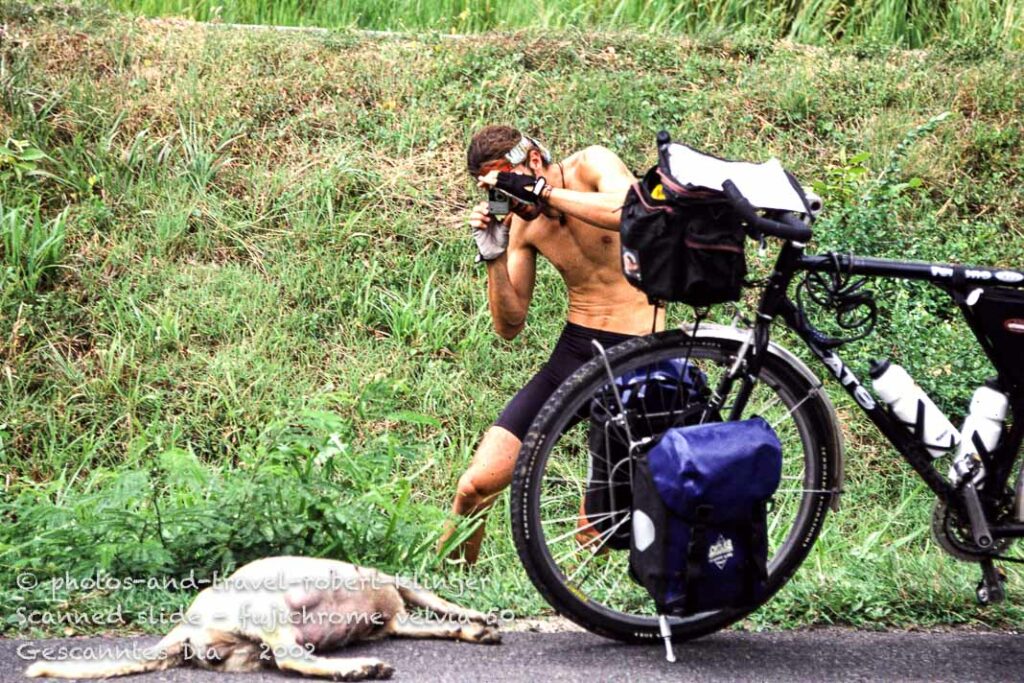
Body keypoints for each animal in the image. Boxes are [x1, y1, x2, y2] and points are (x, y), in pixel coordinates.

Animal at [24, 557, 499, 679]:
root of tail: (182, 629)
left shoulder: (400, 619)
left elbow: (442, 620)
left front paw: (473, 630)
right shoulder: (401, 585)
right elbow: (444, 602)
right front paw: (478, 617)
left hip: (250, 653)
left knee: (287, 661)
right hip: (272, 611)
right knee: (293, 658)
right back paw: (359, 668)